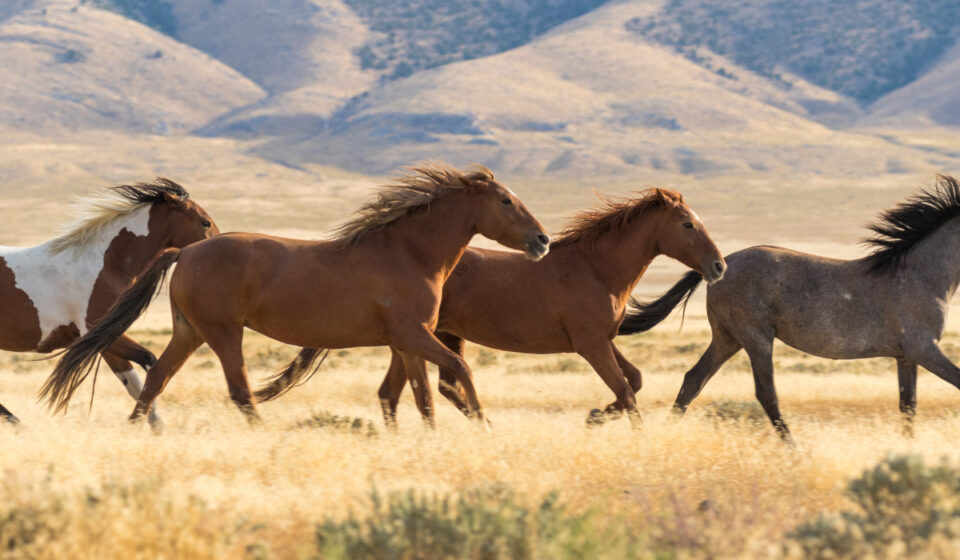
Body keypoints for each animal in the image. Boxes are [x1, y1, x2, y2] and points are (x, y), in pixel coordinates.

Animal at [0, 179, 218, 426]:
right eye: (205, 222)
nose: (219, 245)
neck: (105, 264)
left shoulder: (105, 340)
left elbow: (133, 379)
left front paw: (151, 423)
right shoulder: (98, 333)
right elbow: (146, 364)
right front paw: (150, 421)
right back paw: (16, 422)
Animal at [43, 163, 550, 428]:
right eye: (506, 201)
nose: (542, 241)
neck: (409, 253)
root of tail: (185, 251)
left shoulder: (406, 343)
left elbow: (416, 394)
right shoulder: (414, 336)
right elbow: (456, 372)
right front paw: (482, 425)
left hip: (190, 332)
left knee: (156, 380)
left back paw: (139, 432)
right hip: (223, 333)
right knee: (240, 391)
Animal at [268, 188, 726, 430]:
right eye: (687, 224)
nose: (719, 266)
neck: (596, 269)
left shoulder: (603, 341)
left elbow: (634, 381)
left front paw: (595, 415)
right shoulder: (590, 344)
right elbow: (627, 391)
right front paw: (621, 426)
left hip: (422, 337)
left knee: (407, 390)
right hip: (430, 335)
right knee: (437, 385)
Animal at [612, 175, 960, 441]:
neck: (921, 274)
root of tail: (721, 266)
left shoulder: (906, 355)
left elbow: (908, 406)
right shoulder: (924, 348)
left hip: (728, 339)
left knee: (693, 380)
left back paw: (665, 434)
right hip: (756, 339)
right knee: (766, 393)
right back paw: (794, 448)